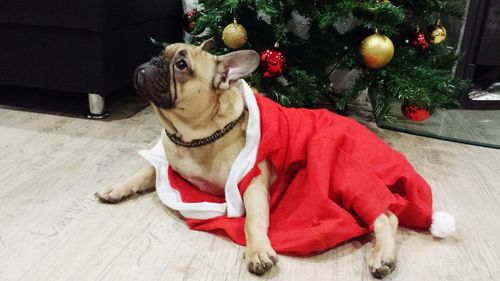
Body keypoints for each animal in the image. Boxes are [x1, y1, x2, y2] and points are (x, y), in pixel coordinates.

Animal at [95, 39, 456, 276]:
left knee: (386, 215)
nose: (152, 61)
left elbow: (253, 220)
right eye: (161, 53)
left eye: (181, 65)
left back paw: (382, 257)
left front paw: (257, 251)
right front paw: (115, 188)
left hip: (346, 173)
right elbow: (143, 172)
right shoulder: (168, 164)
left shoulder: (252, 181)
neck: (194, 138)